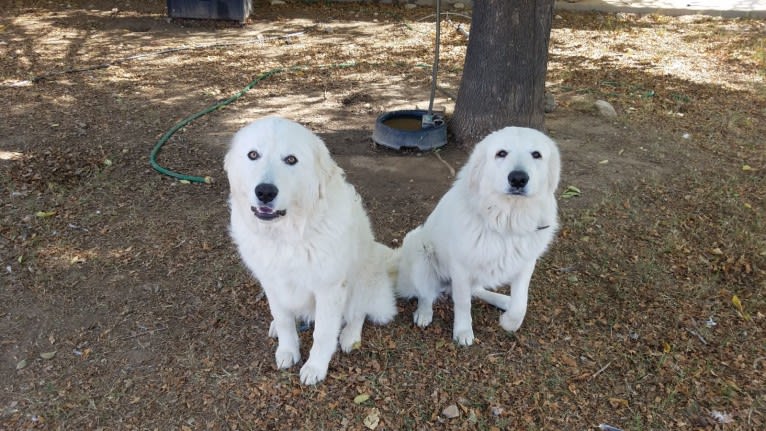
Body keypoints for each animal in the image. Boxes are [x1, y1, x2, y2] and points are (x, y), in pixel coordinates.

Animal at [225, 115, 400, 384]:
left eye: (291, 159)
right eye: (253, 155)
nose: (265, 192)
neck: (287, 237)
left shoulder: (329, 289)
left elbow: (323, 333)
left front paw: (315, 367)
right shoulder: (271, 282)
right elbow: (284, 320)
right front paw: (287, 350)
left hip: (363, 280)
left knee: (358, 313)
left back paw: (350, 336)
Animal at [400, 126, 560, 346]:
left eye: (536, 155)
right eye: (501, 153)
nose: (518, 179)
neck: (507, 221)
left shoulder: (526, 264)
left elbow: (520, 304)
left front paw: (508, 322)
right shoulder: (460, 267)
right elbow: (462, 303)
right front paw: (463, 331)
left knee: (477, 291)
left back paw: (503, 300)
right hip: (418, 247)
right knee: (426, 292)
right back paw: (424, 314)